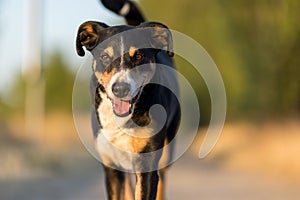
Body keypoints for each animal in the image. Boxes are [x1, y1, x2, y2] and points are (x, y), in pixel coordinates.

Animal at [75, 0, 180, 199]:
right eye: (105, 56)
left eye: (138, 56)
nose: (120, 89)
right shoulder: (111, 167)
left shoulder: (147, 165)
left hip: (166, 152)